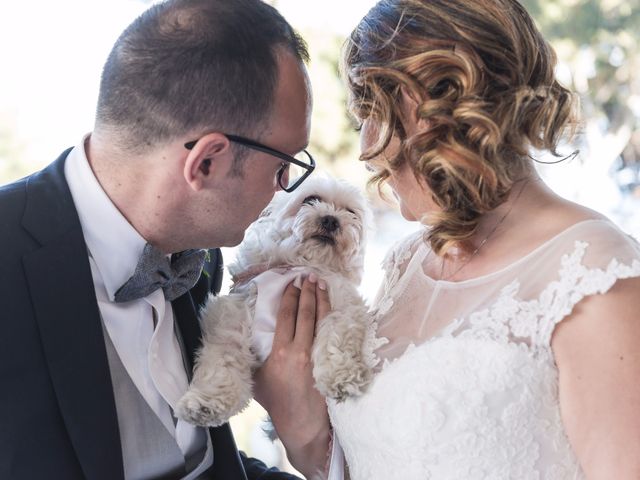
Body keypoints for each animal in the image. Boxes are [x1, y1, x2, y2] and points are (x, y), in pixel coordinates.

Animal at [175, 176, 378, 428]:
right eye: (310, 199)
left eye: (351, 213)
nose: (331, 220)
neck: (298, 265)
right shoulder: (231, 318)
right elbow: (221, 364)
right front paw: (206, 403)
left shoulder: (343, 306)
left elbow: (336, 341)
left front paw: (342, 376)